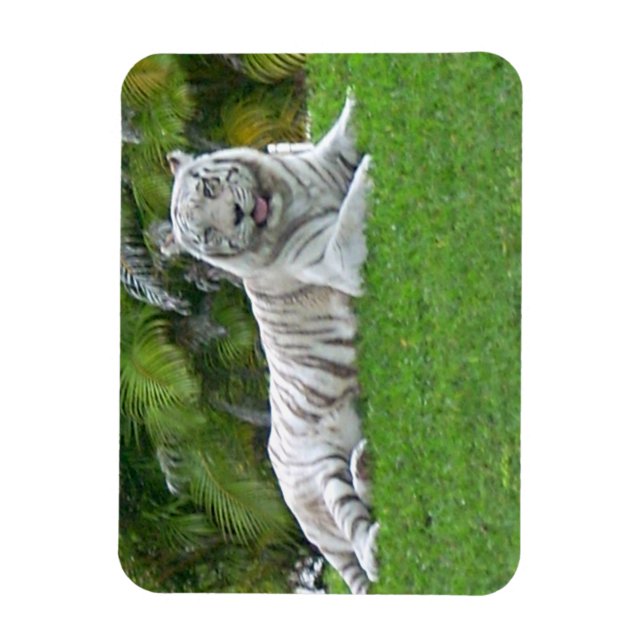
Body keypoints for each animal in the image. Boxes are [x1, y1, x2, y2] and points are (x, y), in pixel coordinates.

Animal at [163, 93, 378, 594]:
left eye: (209, 190)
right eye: (207, 234)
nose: (238, 217)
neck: (287, 197)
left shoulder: (323, 161)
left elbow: (343, 131)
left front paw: (354, 105)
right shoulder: (338, 260)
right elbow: (349, 214)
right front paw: (370, 171)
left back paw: (365, 463)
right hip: (320, 476)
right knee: (368, 551)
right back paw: (373, 527)